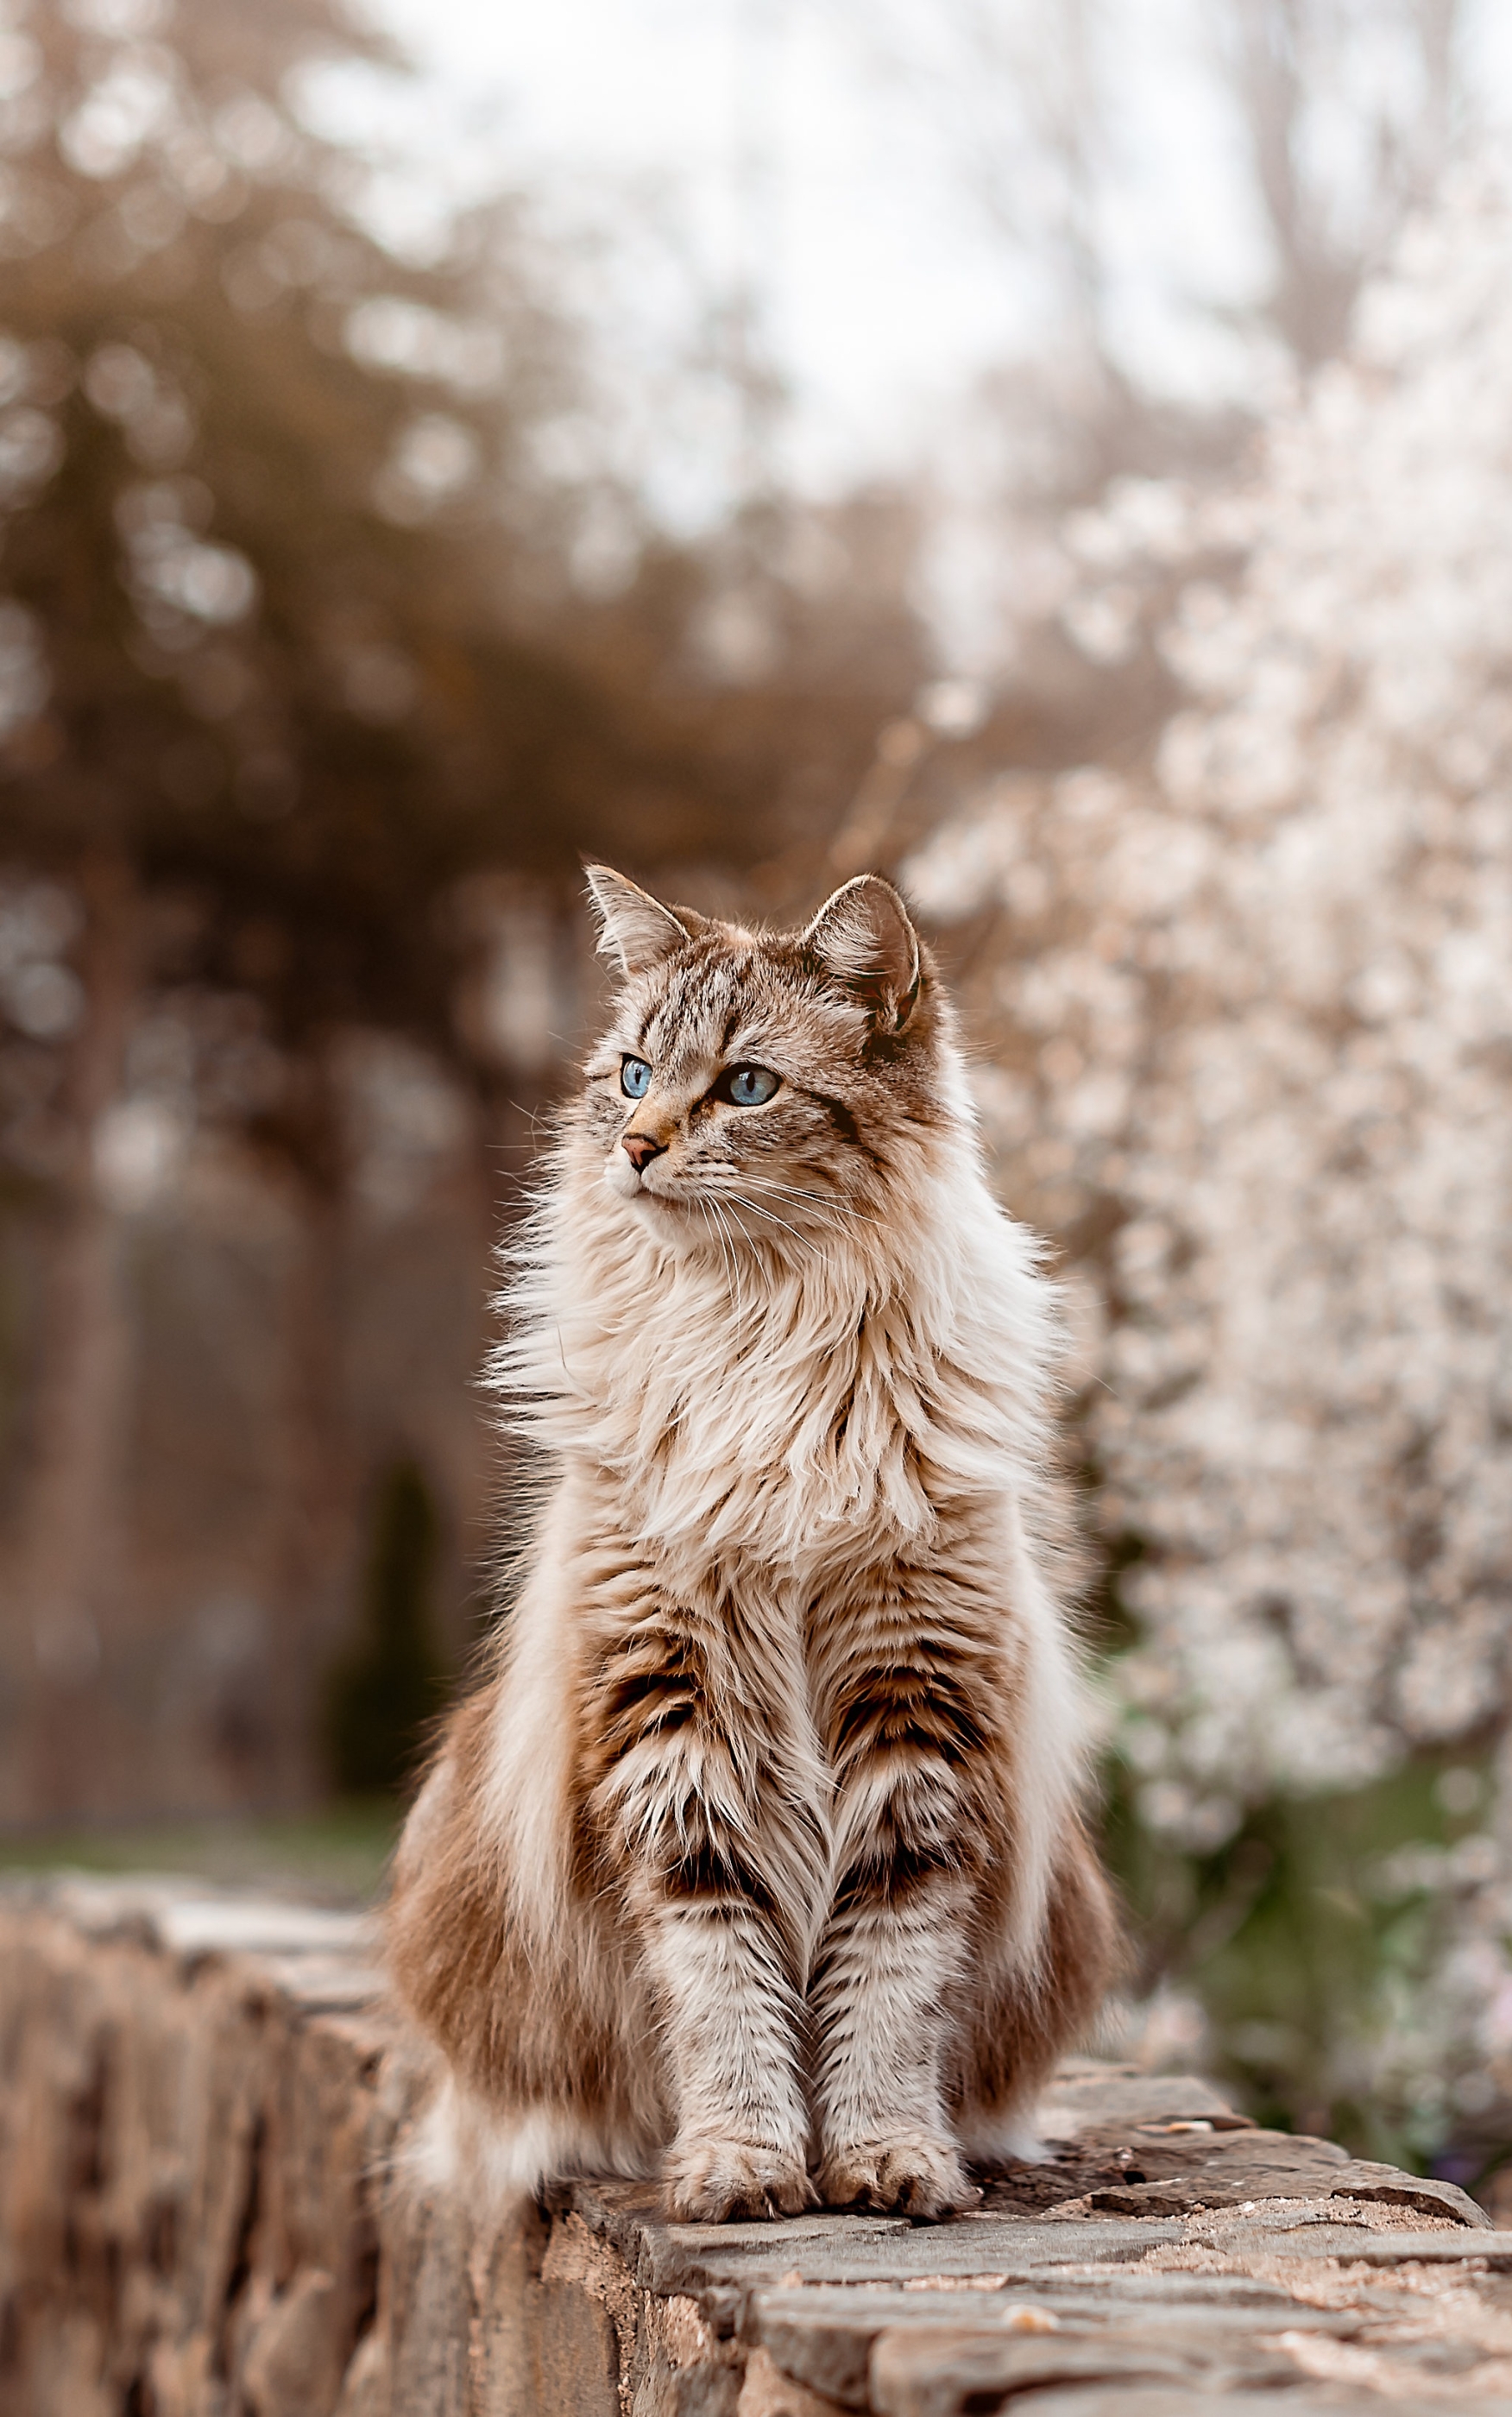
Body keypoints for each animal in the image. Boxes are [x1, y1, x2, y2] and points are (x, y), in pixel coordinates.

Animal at [386, 860, 1120, 2213]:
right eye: (631, 1074)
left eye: (744, 1087)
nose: (636, 1146)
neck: (762, 1339)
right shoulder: (667, 1710)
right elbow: (722, 1983)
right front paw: (743, 2166)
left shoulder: (917, 1711)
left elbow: (886, 1990)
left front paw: (885, 2161)